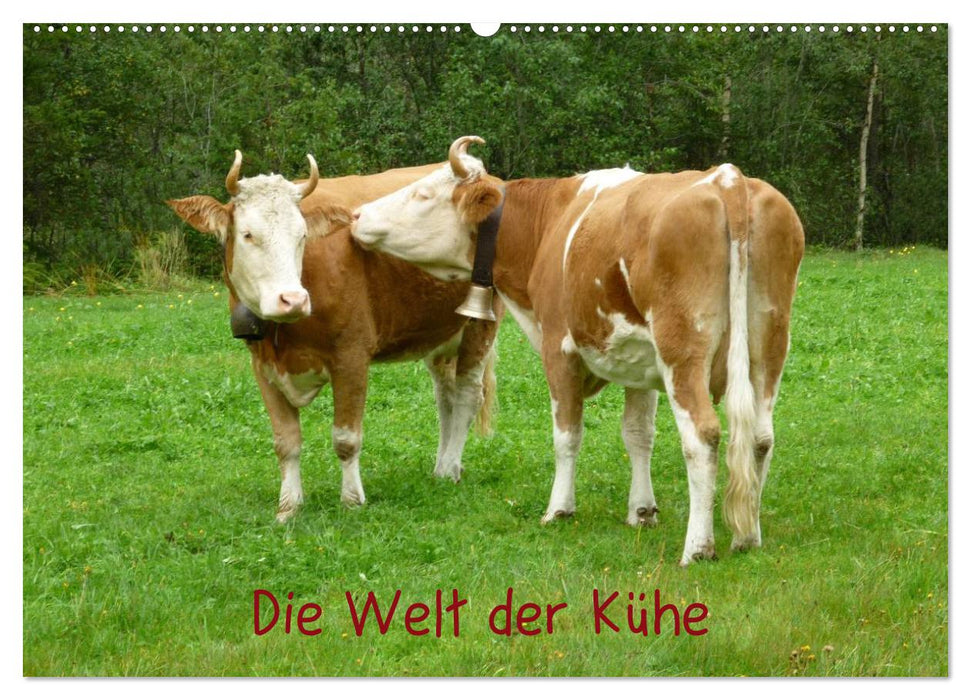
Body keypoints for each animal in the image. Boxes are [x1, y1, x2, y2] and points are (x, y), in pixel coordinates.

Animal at [167, 151, 502, 522]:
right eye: (247, 235)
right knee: (445, 397)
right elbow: (285, 442)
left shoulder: (351, 357)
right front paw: (288, 507)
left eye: (301, 235)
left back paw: (450, 468)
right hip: (439, 333)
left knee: (467, 395)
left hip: (480, 322)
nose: (292, 299)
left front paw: (352, 500)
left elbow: (346, 438)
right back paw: (442, 464)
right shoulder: (262, 366)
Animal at [351, 136, 805, 565]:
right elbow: (638, 434)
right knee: (760, 436)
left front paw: (559, 509)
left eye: (423, 194)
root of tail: (728, 179)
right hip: (769, 346)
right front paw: (641, 511)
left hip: (683, 350)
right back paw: (748, 536)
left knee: (703, 436)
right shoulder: (641, 364)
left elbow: (567, 434)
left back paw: (698, 547)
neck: (547, 224)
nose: (357, 215)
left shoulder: (559, 347)